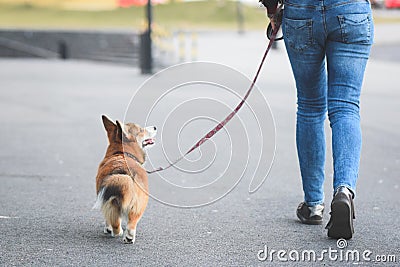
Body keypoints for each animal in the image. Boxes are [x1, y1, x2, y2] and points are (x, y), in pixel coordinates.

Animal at [94, 115, 156, 245]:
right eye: (141, 130)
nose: (155, 127)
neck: (122, 153)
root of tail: (124, 173)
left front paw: (107, 228)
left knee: (116, 222)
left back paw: (119, 233)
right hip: (140, 202)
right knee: (131, 221)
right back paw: (128, 236)